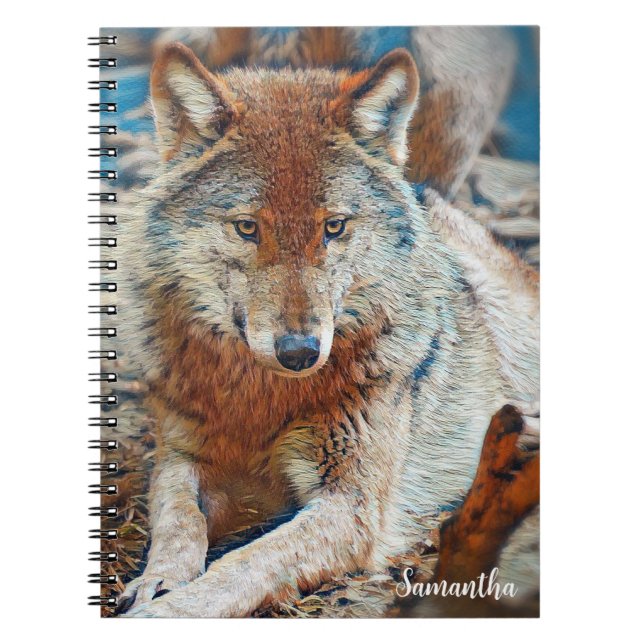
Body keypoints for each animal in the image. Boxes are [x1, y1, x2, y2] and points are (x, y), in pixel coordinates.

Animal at [115, 34, 539, 617]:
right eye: (247, 228)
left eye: (333, 227)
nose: (299, 351)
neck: (263, 399)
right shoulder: (183, 456)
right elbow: (178, 519)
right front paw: (156, 580)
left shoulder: (350, 507)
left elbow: (243, 564)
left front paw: (169, 610)